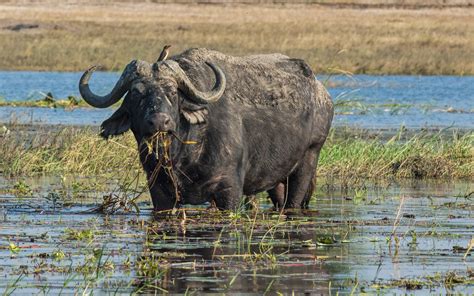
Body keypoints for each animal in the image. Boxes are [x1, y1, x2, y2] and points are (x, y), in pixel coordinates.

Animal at [78, 47, 334, 210]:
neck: (184, 155)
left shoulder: (229, 190)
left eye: (173, 92)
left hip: (309, 159)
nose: (159, 121)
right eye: (136, 94)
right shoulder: (159, 191)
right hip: (277, 178)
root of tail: (322, 93)